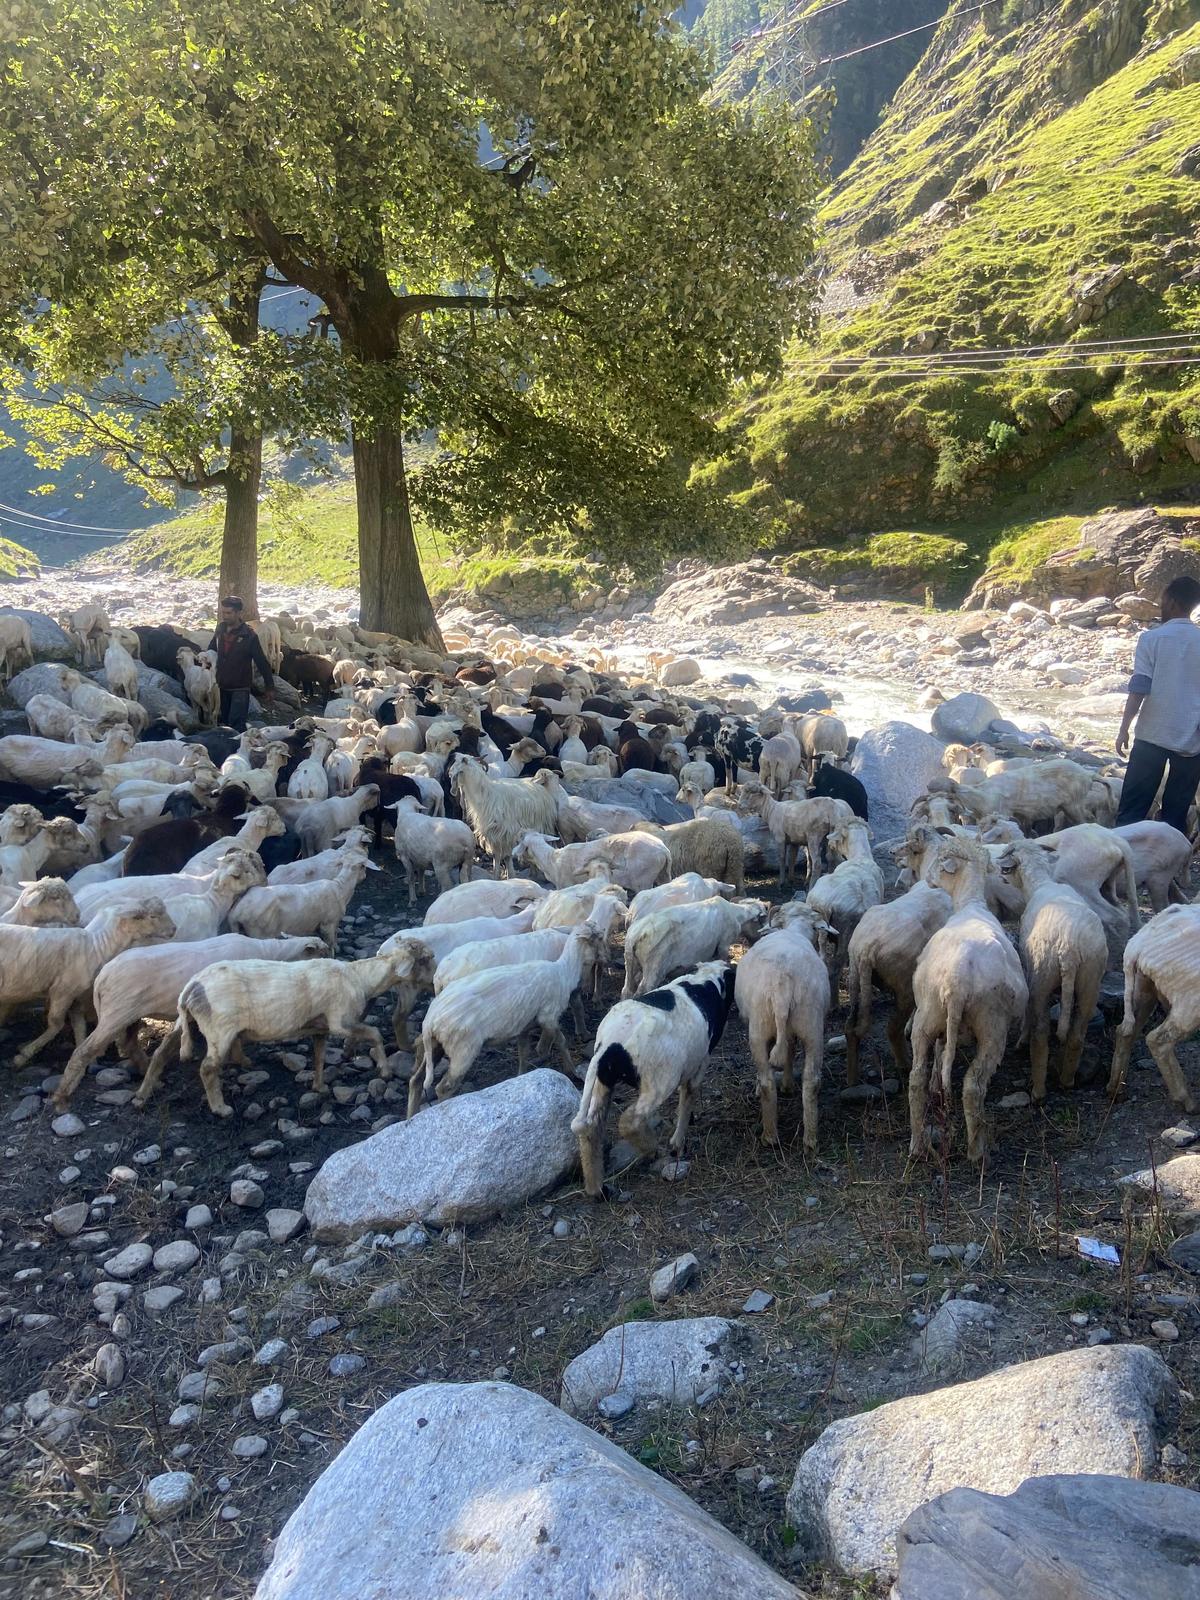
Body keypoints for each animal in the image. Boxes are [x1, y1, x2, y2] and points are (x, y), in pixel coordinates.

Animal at [569, 953, 732, 1196]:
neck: (706, 981)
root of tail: (610, 1045)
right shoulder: (700, 1063)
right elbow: (688, 1097)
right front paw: (677, 1143)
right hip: (658, 1081)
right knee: (629, 1120)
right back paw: (653, 1148)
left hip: (602, 1080)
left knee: (589, 1128)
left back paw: (596, 1188)